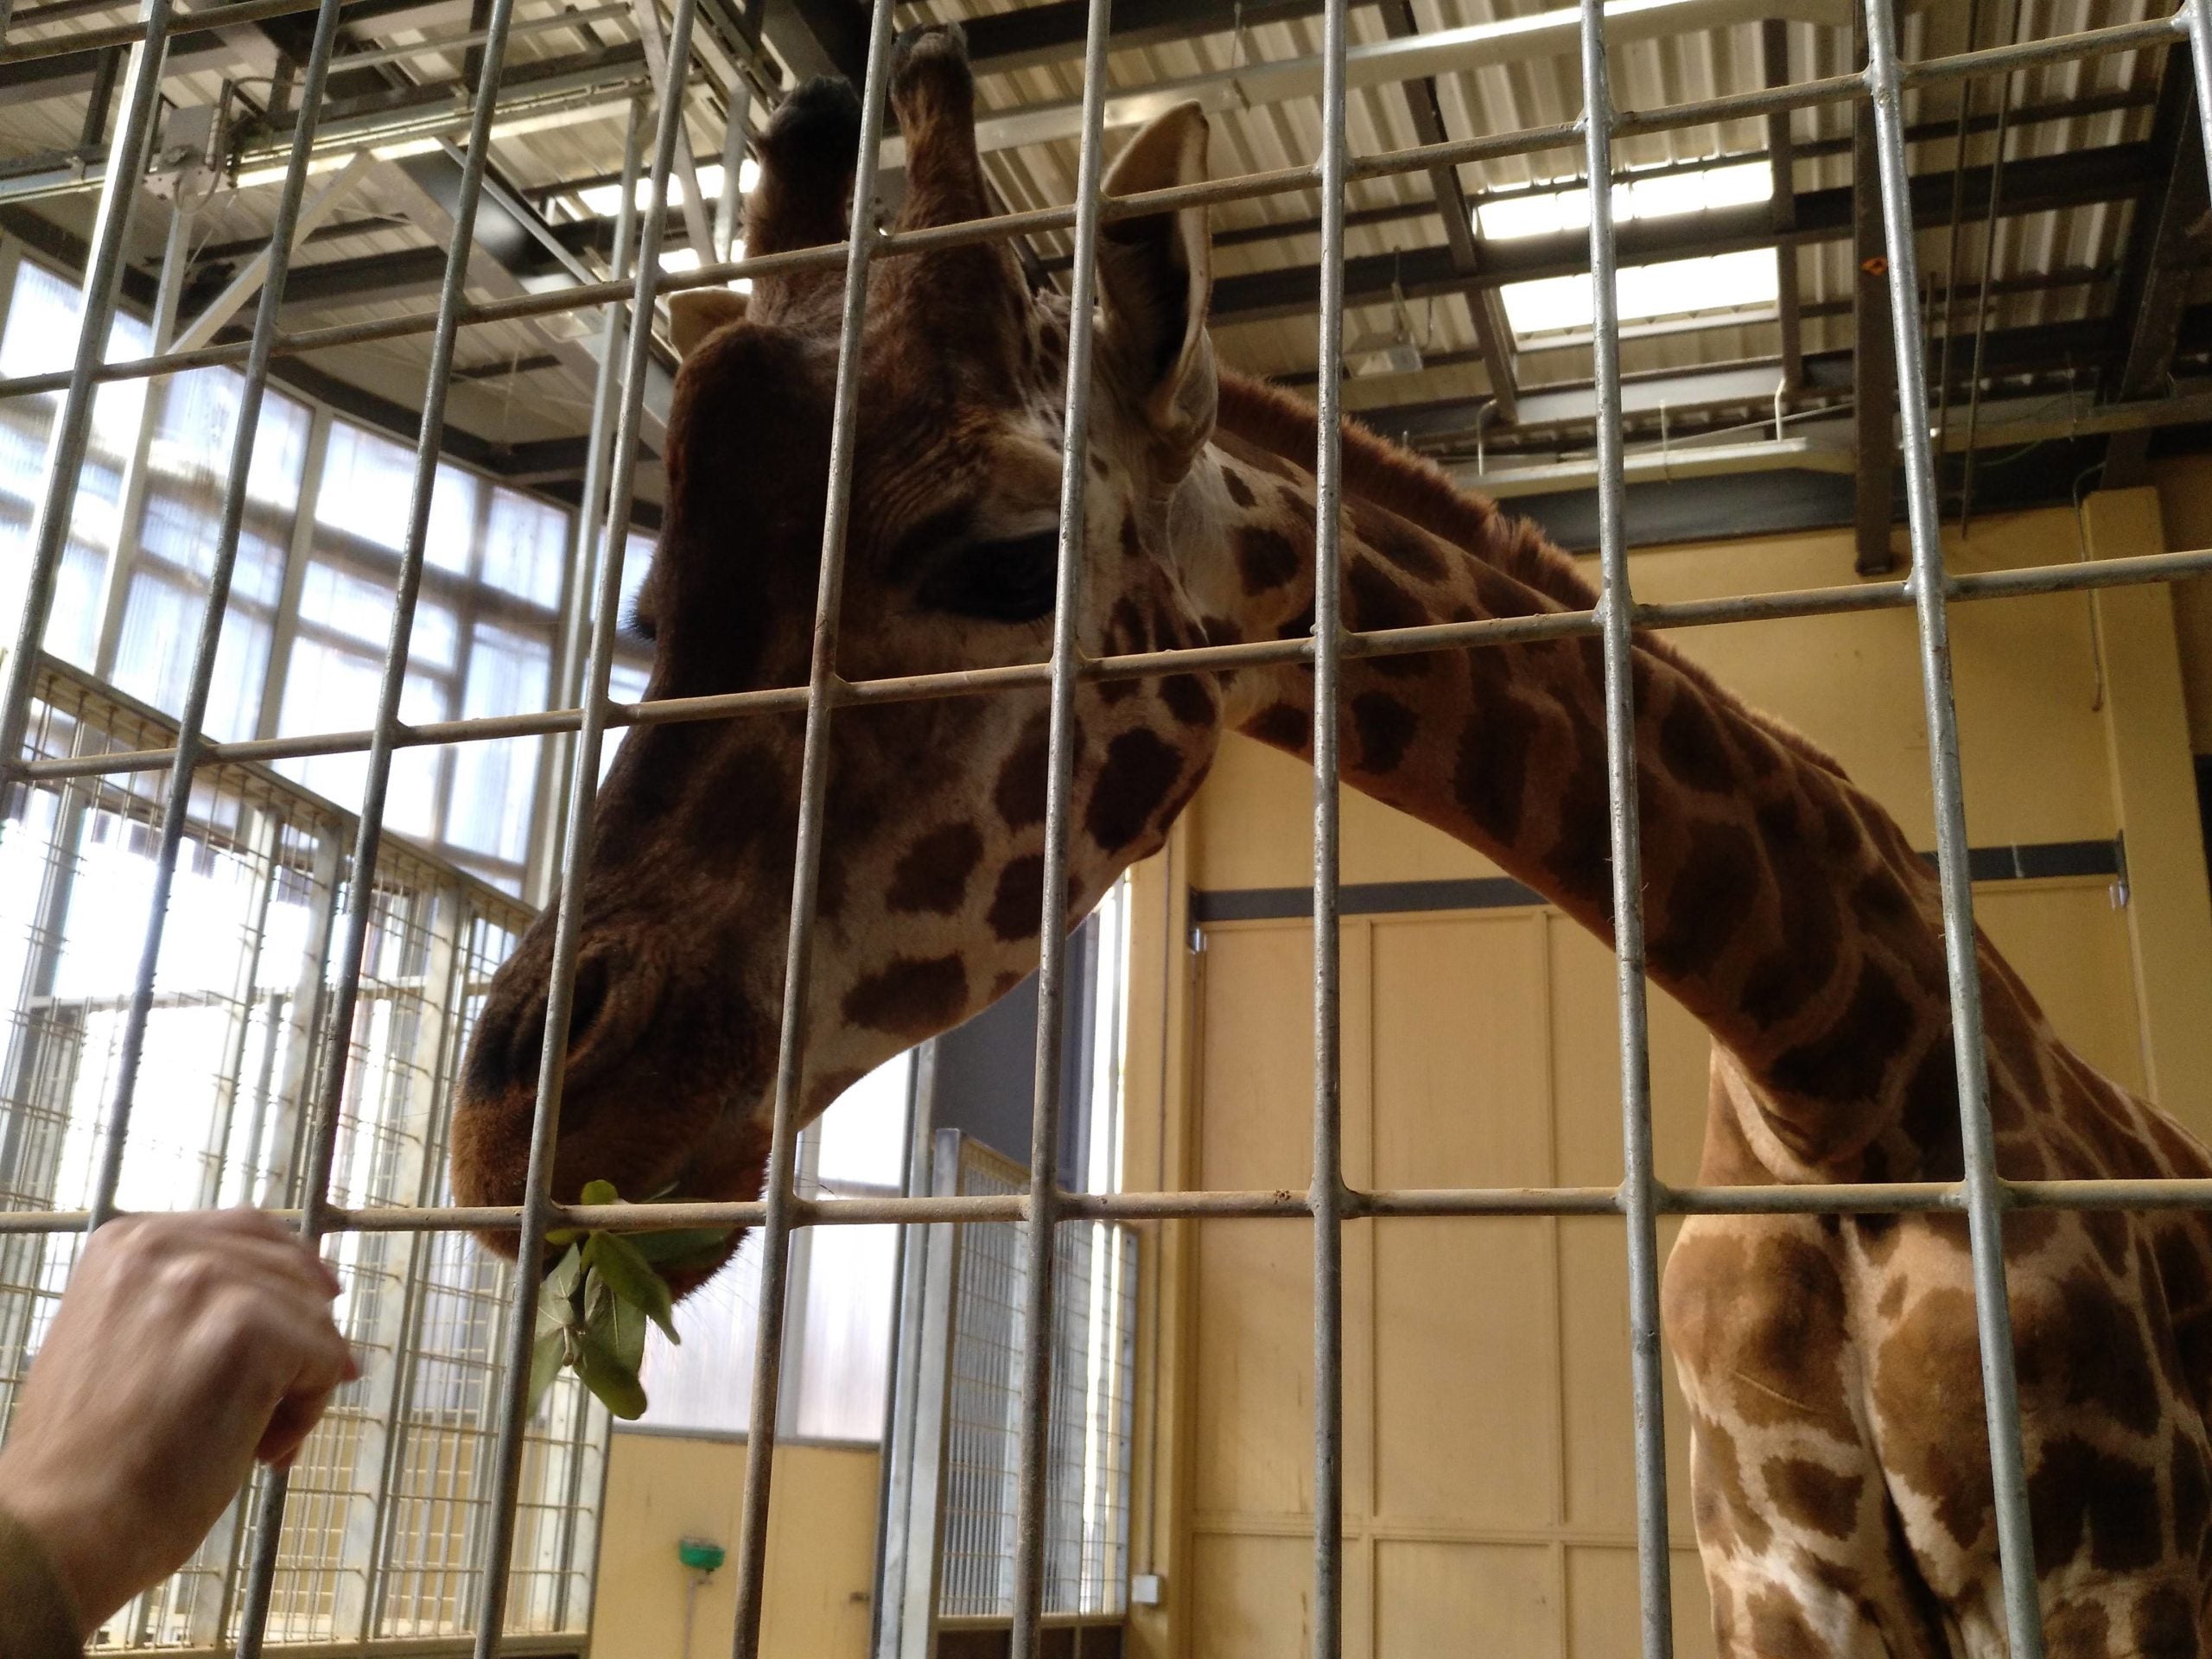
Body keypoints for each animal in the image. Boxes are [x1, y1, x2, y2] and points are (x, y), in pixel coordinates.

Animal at [448, 29, 2212, 1659]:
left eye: (1012, 562)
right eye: (650, 611)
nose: (512, 1126)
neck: (1835, 1072)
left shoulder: (2116, 1579)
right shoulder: (1777, 1583)